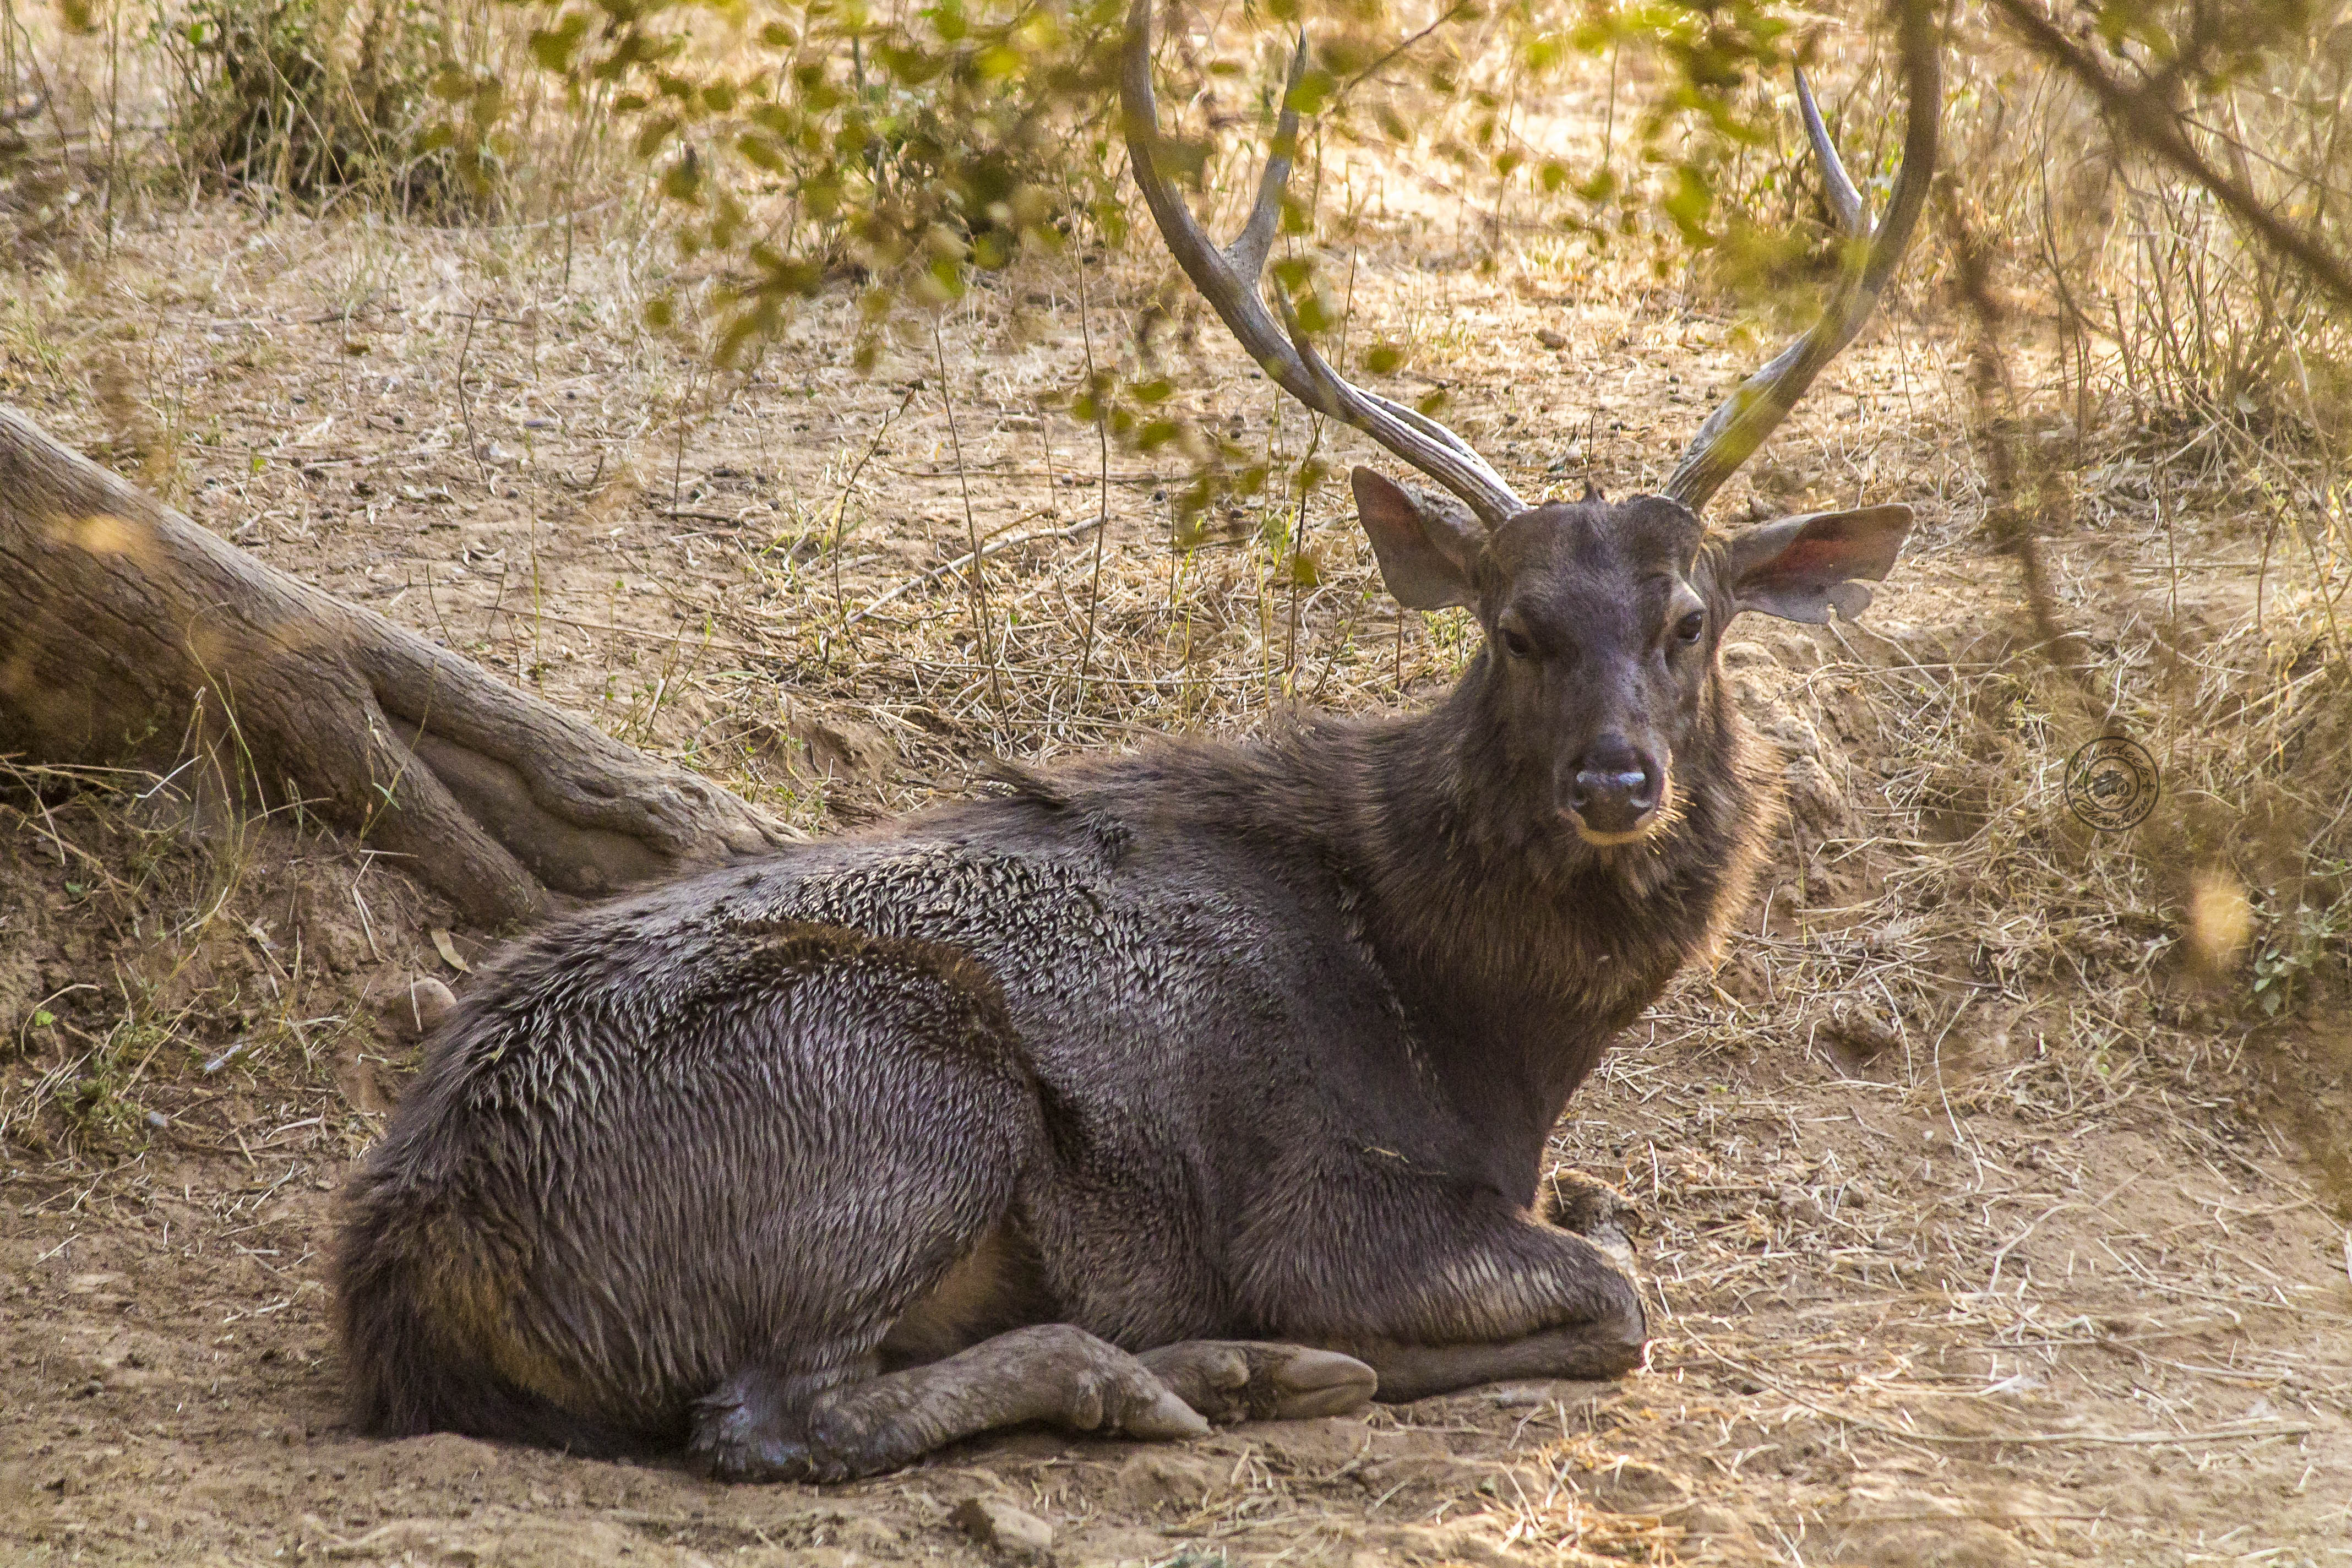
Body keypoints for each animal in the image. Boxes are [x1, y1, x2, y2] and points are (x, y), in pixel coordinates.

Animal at [333, 0, 1941, 1483]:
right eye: (1515, 627)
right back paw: (1200, 1373)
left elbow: (1611, 1224)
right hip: (903, 1089)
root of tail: (415, 1247)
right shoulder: (1320, 1200)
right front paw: (1336, 1346)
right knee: (780, 1413)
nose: (1616, 777)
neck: (1494, 1037)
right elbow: (1617, 1296)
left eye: (1691, 621)